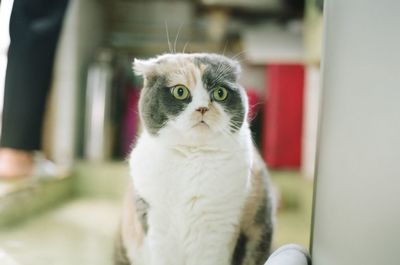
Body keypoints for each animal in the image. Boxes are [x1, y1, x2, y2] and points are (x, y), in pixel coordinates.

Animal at [114, 52, 274, 264]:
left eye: (220, 93)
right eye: (180, 91)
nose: (202, 108)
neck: (192, 156)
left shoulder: (218, 232)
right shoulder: (157, 227)